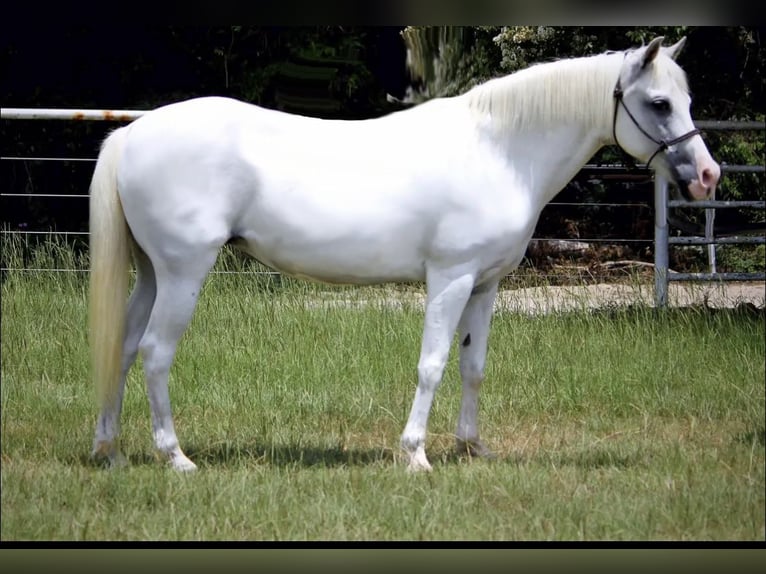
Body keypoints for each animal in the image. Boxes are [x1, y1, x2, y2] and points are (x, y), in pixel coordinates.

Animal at [88, 38, 720, 474]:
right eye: (659, 102)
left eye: (688, 99)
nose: (708, 176)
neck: (499, 150)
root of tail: (135, 132)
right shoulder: (451, 278)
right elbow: (432, 364)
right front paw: (415, 454)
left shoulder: (485, 285)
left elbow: (472, 365)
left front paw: (473, 446)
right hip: (183, 272)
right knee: (155, 353)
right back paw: (176, 457)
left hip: (151, 274)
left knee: (123, 347)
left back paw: (109, 450)